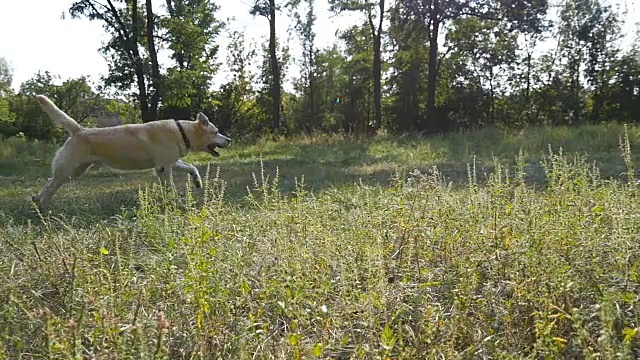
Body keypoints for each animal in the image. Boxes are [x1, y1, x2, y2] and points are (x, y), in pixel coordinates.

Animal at [31, 94, 232, 211]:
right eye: (216, 132)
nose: (229, 140)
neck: (182, 132)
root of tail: (80, 129)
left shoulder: (169, 163)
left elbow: (192, 168)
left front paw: (197, 182)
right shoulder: (164, 168)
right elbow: (171, 187)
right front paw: (176, 202)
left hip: (74, 171)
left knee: (48, 182)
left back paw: (36, 200)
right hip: (68, 171)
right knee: (49, 187)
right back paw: (44, 209)